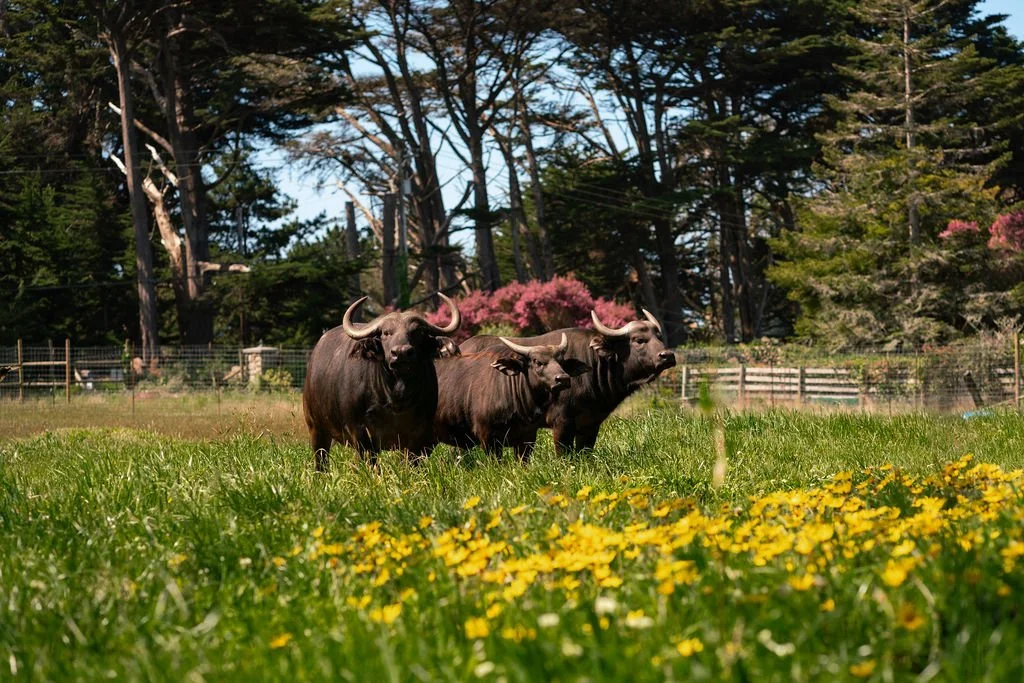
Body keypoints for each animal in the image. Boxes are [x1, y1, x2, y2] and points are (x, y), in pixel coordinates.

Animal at [302, 294, 461, 471]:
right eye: (386, 333)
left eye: (418, 332)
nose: (401, 353)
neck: (396, 397)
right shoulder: (361, 433)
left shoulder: (419, 435)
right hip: (316, 428)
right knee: (321, 460)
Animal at [460, 310, 675, 453]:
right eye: (638, 340)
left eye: (658, 336)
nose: (668, 355)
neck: (593, 363)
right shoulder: (561, 423)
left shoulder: (590, 424)